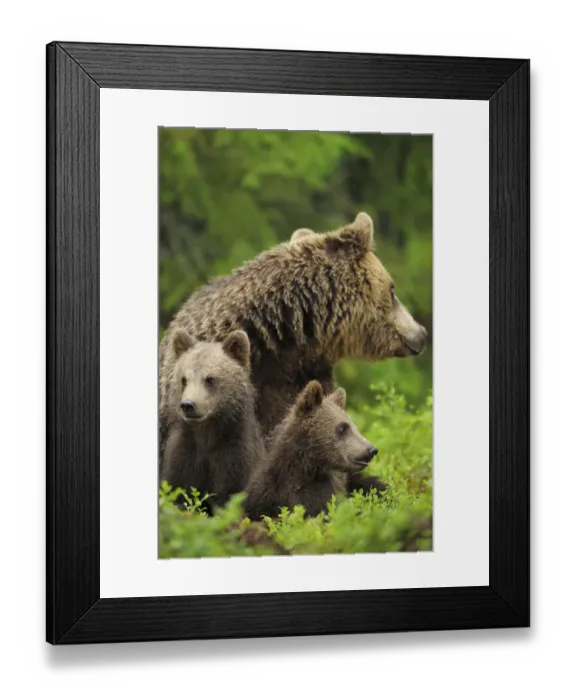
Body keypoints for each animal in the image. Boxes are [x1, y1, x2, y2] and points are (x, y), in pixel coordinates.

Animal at [160, 329, 264, 509]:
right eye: (184, 379)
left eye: (210, 379)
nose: (188, 405)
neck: (206, 433)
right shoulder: (183, 456)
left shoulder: (236, 457)